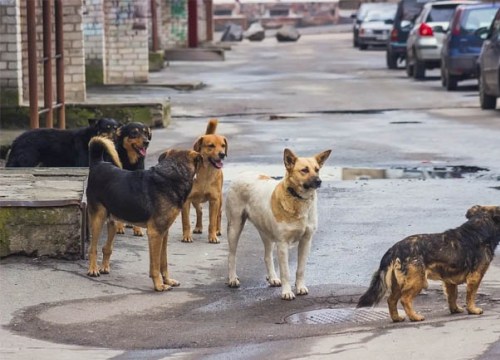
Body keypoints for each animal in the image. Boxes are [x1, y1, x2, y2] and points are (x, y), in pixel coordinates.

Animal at [86, 136, 201, 292]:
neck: (173, 174)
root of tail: (98, 163)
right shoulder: (155, 233)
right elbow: (155, 265)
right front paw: (159, 285)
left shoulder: (164, 233)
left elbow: (163, 262)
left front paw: (167, 280)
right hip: (98, 219)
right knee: (92, 248)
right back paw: (93, 269)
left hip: (113, 221)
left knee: (106, 247)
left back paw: (104, 267)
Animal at [225, 148, 330, 300]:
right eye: (304, 170)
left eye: (317, 169)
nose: (319, 181)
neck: (297, 199)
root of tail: (243, 173)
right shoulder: (282, 244)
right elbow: (286, 272)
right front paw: (287, 292)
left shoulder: (306, 241)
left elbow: (300, 269)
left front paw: (300, 287)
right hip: (235, 226)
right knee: (231, 255)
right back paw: (232, 279)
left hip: (266, 233)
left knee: (267, 256)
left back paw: (273, 278)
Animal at [356, 207, 500, 322]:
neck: (480, 227)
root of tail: (395, 248)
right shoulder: (475, 277)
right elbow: (470, 296)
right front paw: (473, 310)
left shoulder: (449, 281)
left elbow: (452, 296)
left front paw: (455, 309)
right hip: (418, 281)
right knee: (405, 299)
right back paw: (414, 317)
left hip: (398, 284)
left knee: (391, 300)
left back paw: (396, 318)